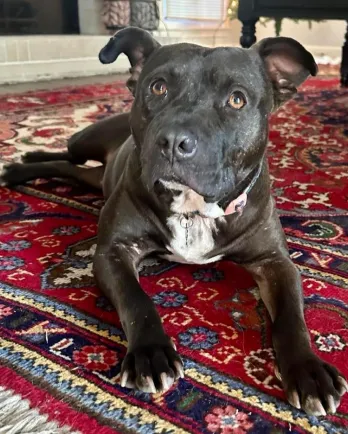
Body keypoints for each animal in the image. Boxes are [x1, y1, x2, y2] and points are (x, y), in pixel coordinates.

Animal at [1, 27, 346, 418]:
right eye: (158, 87)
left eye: (237, 100)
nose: (173, 140)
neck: (193, 211)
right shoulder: (113, 251)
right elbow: (137, 301)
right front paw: (150, 353)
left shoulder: (275, 263)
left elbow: (292, 318)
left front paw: (308, 370)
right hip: (83, 140)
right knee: (66, 154)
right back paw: (23, 160)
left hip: (94, 174)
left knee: (71, 167)